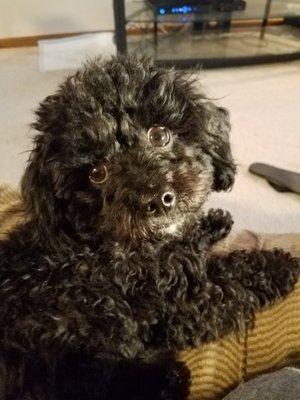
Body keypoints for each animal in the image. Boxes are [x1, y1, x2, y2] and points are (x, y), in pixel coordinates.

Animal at [0, 54, 298, 398]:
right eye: (96, 173)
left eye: (159, 135)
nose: (157, 200)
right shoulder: (181, 308)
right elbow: (228, 278)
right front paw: (278, 264)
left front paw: (213, 222)